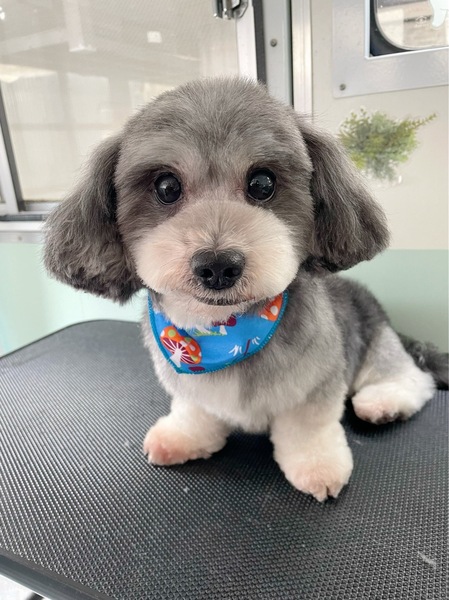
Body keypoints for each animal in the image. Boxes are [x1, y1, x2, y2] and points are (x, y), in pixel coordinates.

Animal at [44, 78, 447, 502]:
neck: (222, 331)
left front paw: (317, 465)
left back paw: (383, 402)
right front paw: (184, 436)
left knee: (411, 377)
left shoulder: (315, 383)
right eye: (166, 186)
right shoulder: (190, 387)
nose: (218, 266)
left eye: (262, 183)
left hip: (377, 342)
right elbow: (193, 410)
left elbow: (309, 426)